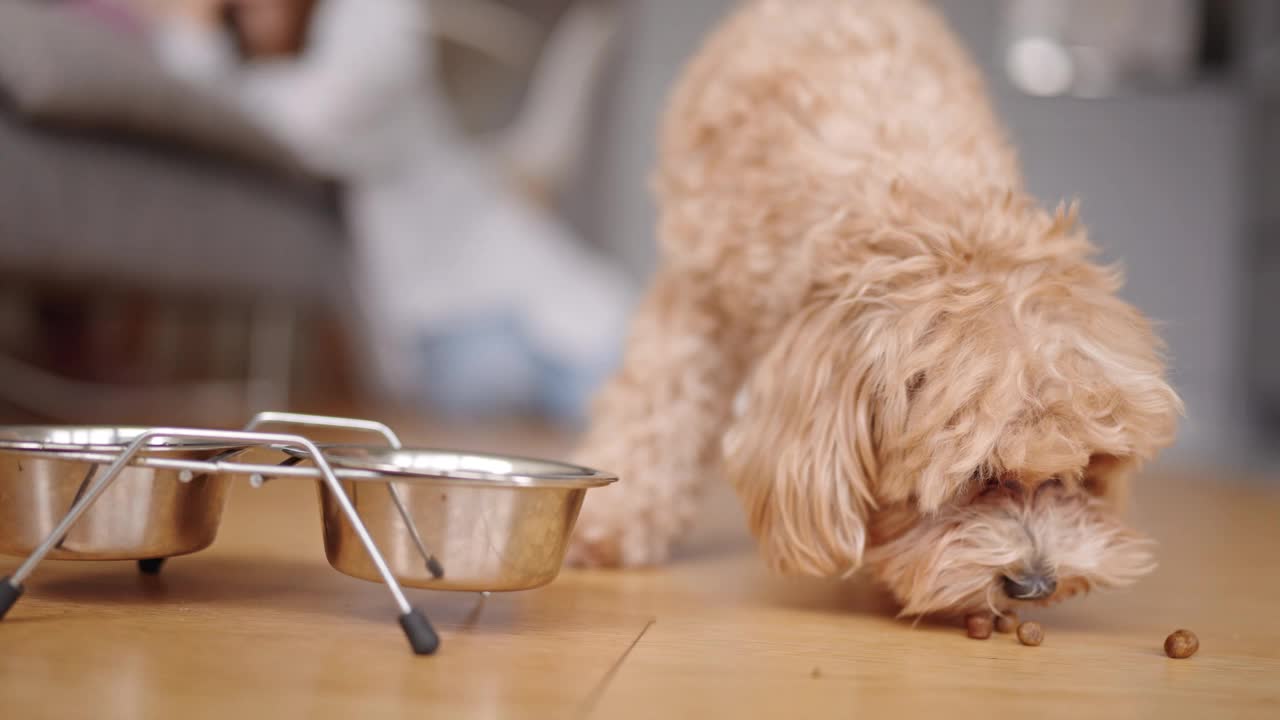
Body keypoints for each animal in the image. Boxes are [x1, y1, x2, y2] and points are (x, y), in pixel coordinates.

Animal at [568, 0, 1177, 617]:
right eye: (977, 477)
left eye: (1084, 472)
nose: (1035, 584)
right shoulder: (699, 293)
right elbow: (657, 410)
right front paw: (608, 522)